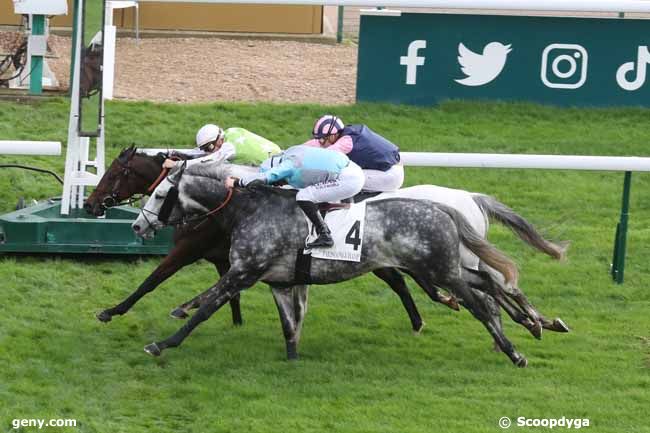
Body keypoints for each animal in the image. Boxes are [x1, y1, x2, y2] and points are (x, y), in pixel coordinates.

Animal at [132, 162, 532, 364]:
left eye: (161, 194)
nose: (138, 224)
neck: (249, 211)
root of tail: (445, 208)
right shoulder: (279, 281)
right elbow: (289, 325)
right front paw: (293, 358)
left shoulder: (243, 272)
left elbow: (206, 308)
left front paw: (162, 343)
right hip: (444, 266)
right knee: (489, 284)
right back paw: (531, 322)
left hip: (440, 269)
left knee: (480, 304)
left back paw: (515, 351)